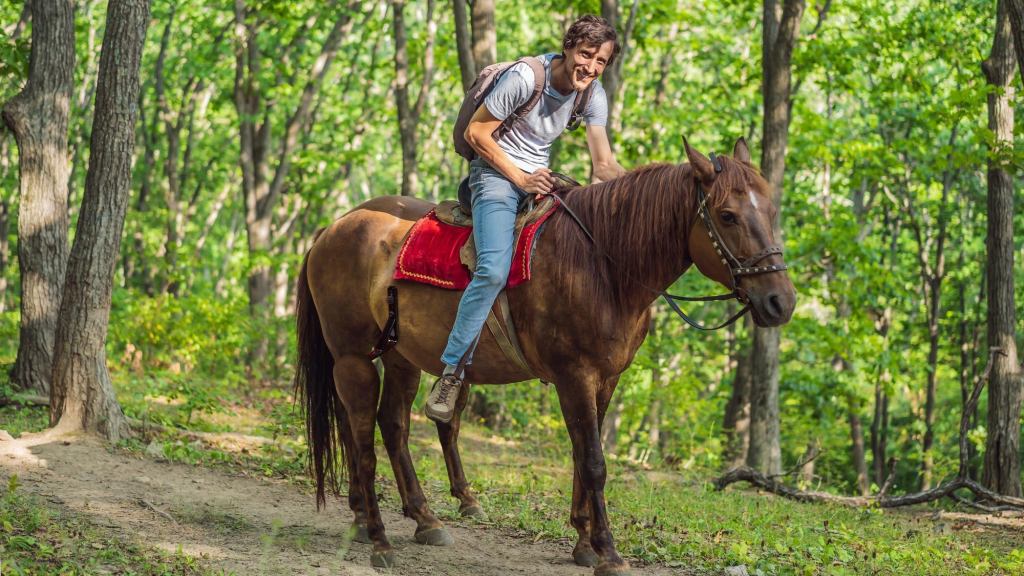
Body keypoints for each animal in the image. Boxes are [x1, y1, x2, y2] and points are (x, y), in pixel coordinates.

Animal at [292, 136, 794, 569]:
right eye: (727, 215)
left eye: (772, 210)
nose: (781, 302)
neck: (602, 266)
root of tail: (334, 228)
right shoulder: (574, 375)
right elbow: (593, 462)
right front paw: (608, 552)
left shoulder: (605, 380)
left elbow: (581, 456)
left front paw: (584, 542)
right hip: (353, 358)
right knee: (361, 436)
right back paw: (378, 536)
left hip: (400, 356)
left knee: (391, 426)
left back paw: (419, 519)